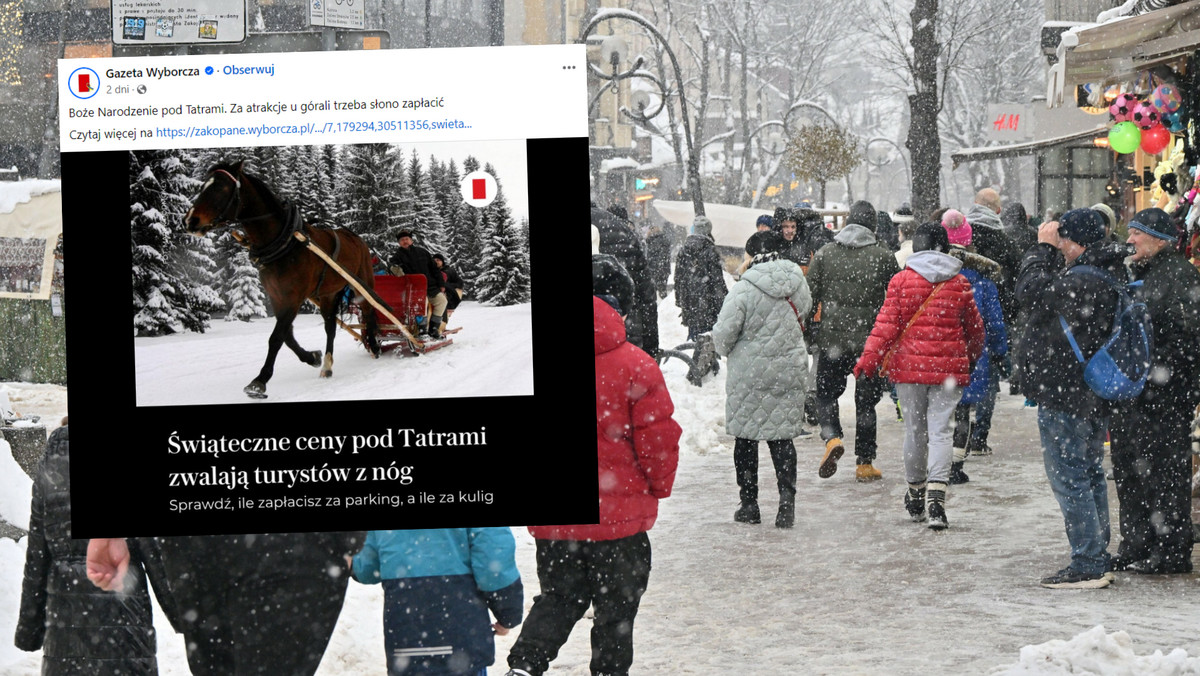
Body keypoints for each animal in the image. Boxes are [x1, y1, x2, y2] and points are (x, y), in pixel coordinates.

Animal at [183, 160, 379, 398]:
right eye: (203, 185)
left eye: (221, 187)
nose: (190, 220)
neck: (284, 242)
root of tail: (358, 239)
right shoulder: (276, 296)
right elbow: (286, 335)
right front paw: (312, 356)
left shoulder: (293, 297)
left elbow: (276, 337)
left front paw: (259, 381)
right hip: (328, 294)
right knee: (330, 327)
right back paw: (327, 365)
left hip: (362, 283)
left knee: (369, 311)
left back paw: (375, 346)